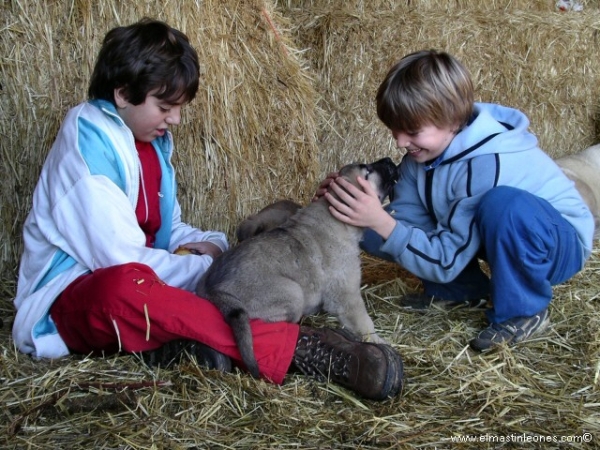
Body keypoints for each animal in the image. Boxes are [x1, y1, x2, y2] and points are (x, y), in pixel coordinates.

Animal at [197, 158, 398, 376]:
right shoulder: (346, 294)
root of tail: (212, 289)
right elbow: (363, 321)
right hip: (292, 292)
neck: (337, 218)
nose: (389, 160)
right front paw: (377, 340)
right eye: (367, 172)